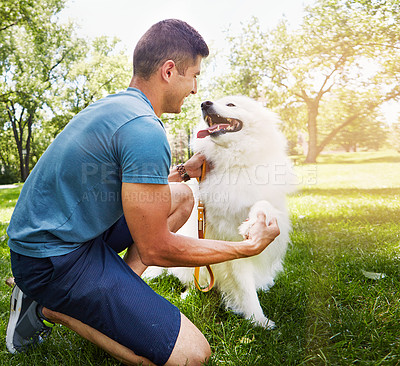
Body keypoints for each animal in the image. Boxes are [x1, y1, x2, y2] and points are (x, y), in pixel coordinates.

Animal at [146, 96, 294, 328]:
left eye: (231, 105)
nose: (204, 103)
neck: (234, 163)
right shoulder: (229, 240)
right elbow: (244, 286)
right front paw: (258, 319)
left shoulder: (273, 206)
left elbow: (263, 205)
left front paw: (252, 223)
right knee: (194, 278)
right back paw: (188, 294)